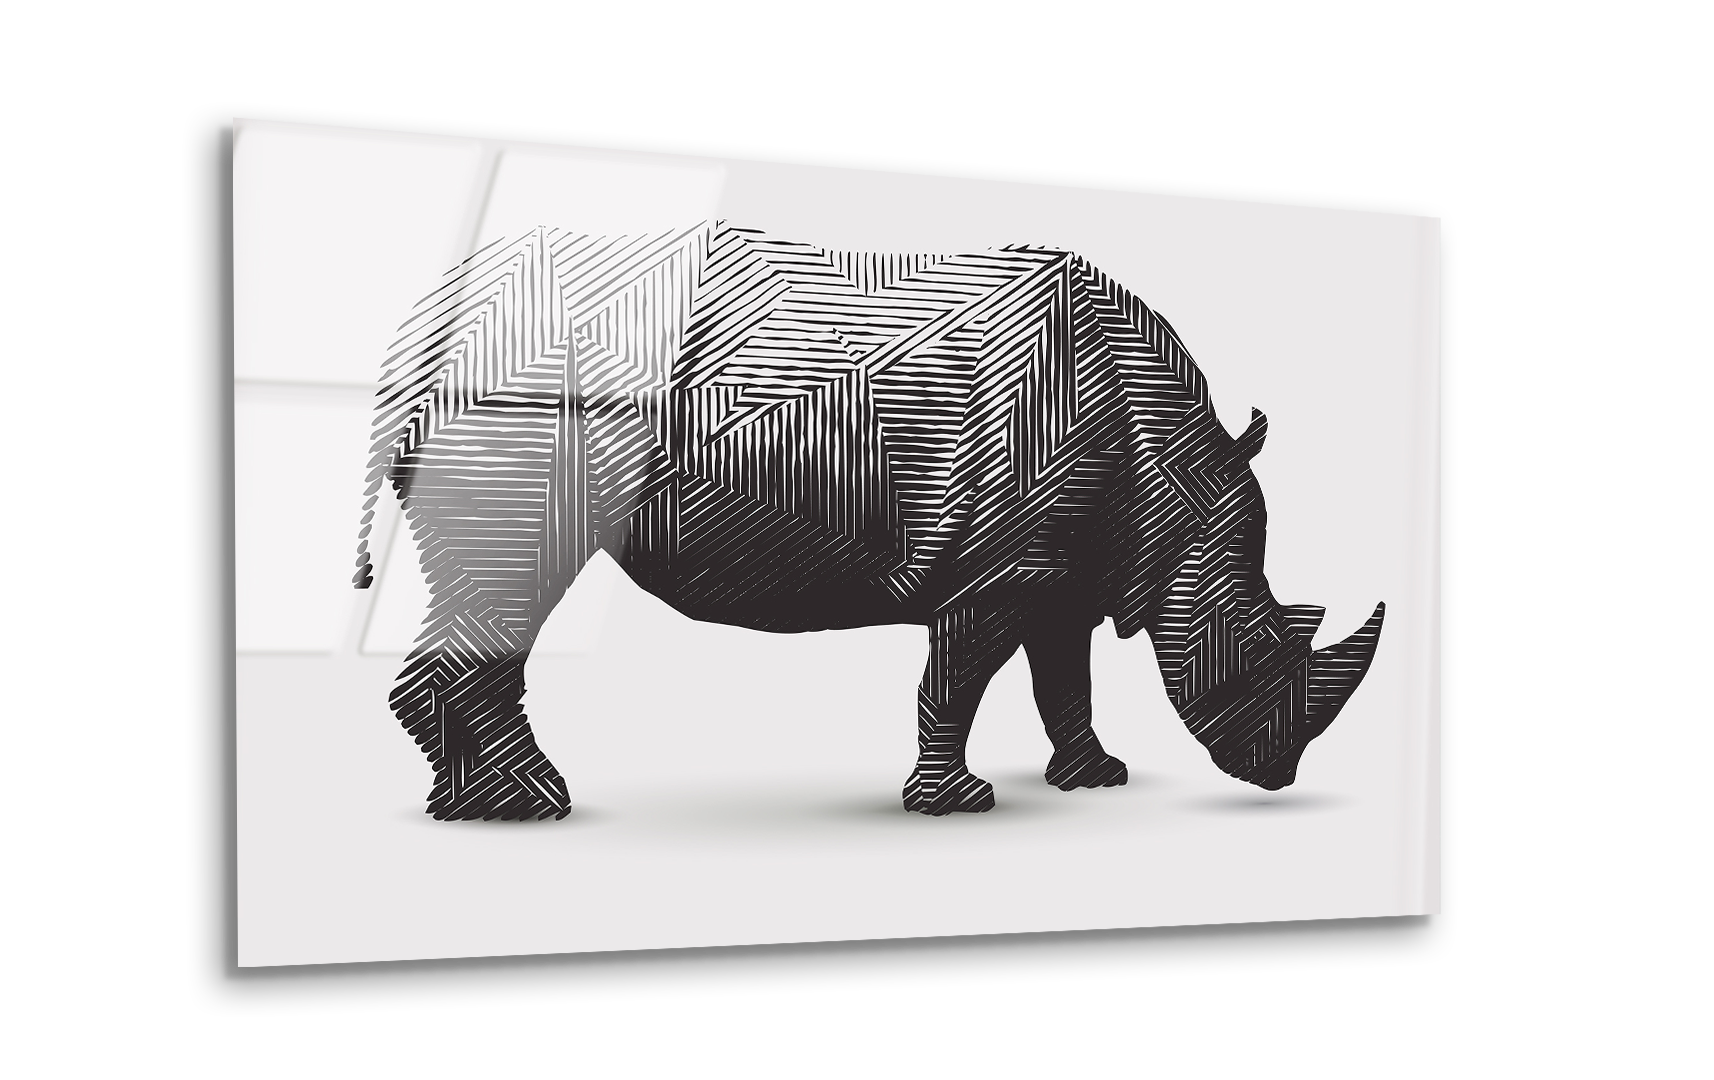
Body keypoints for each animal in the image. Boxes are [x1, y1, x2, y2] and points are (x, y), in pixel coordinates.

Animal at [353, 221, 1384, 820]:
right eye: (1255, 645)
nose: (1278, 774)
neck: (1176, 485)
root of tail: (428, 326)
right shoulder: (996, 571)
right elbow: (957, 679)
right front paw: (957, 805)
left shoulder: (1063, 568)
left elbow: (1065, 676)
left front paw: (1096, 779)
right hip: (527, 407)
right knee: (514, 581)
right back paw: (537, 806)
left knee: (486, 592)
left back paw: (465, 808)